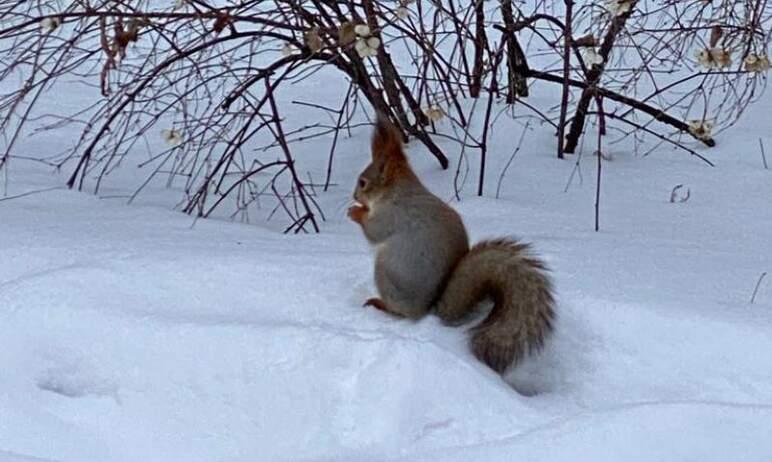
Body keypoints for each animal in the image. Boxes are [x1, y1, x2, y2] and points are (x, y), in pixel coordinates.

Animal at [348, 113, 556, 374]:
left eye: (363, 182)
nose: (354, 196)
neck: (396, 192)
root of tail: (429, 310)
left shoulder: (392, 216)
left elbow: (374, 232)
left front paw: (355, 212)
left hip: (385, 272)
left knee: (402, 313)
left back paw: (380, 304)